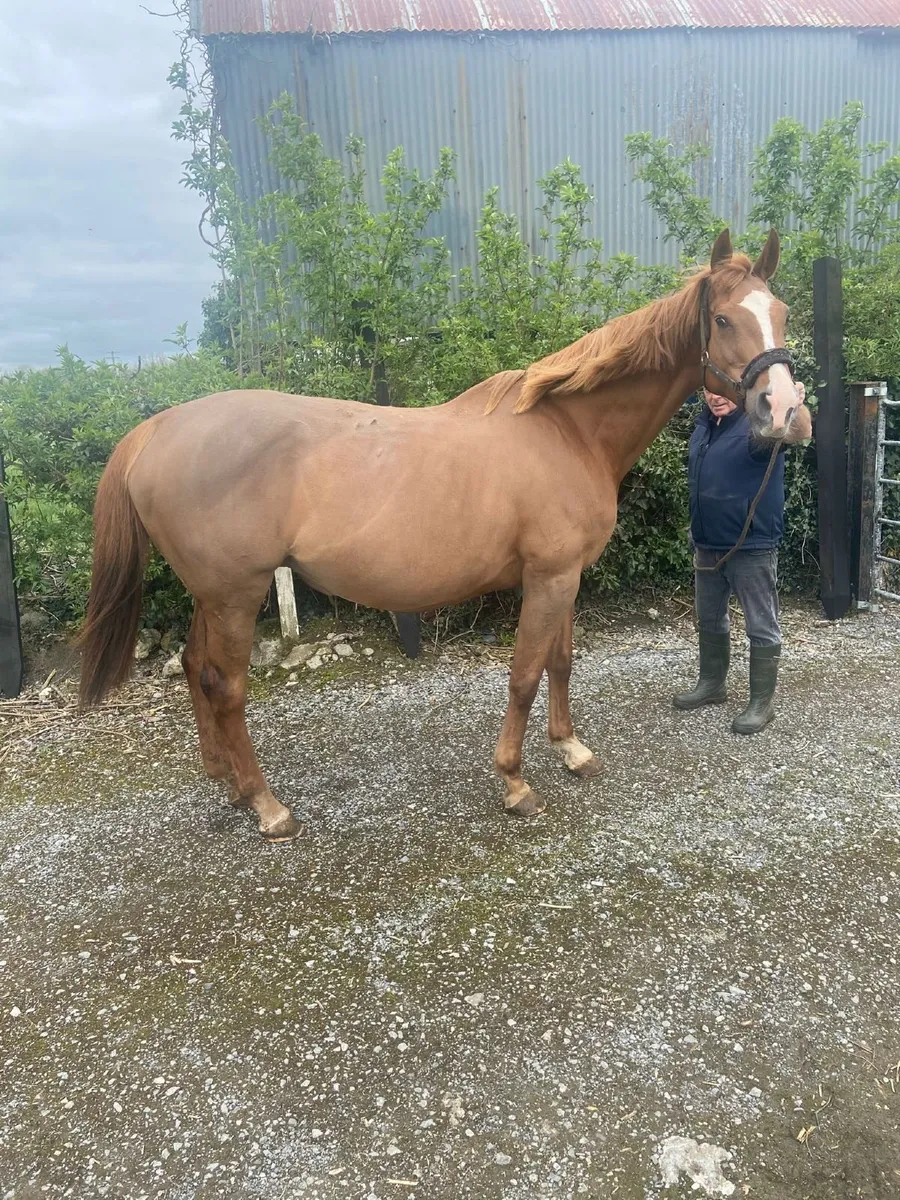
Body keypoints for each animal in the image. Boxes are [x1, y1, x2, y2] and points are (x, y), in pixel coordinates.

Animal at [77, 228, 800, 841]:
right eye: (724, 319)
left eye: (783, 312)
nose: (785, 412)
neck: (569, 432)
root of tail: (157, 428)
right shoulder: (548, 578)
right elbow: (524, 675)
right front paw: (515, 784)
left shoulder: (563, 576)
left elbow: (561, 662)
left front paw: (571, 749)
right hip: (236, 593)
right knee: (226, 687)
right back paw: (267, 806)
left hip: (213, 594)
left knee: (196, 669)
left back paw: (226, 783)